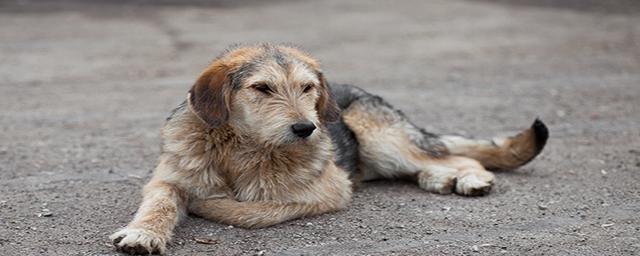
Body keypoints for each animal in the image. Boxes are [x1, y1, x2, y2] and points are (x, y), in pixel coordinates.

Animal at [107, 44, 548, 254]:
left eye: (307, 88)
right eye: (261, 88)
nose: (306, 128)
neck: (241, 148)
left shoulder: (330, 190)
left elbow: (254, 211)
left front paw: (210, 205)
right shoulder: (169, 178)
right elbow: (160, 203)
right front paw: (143, 233)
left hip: (383, 139)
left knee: (458, 154)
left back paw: (469, 178)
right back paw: (439, 179)